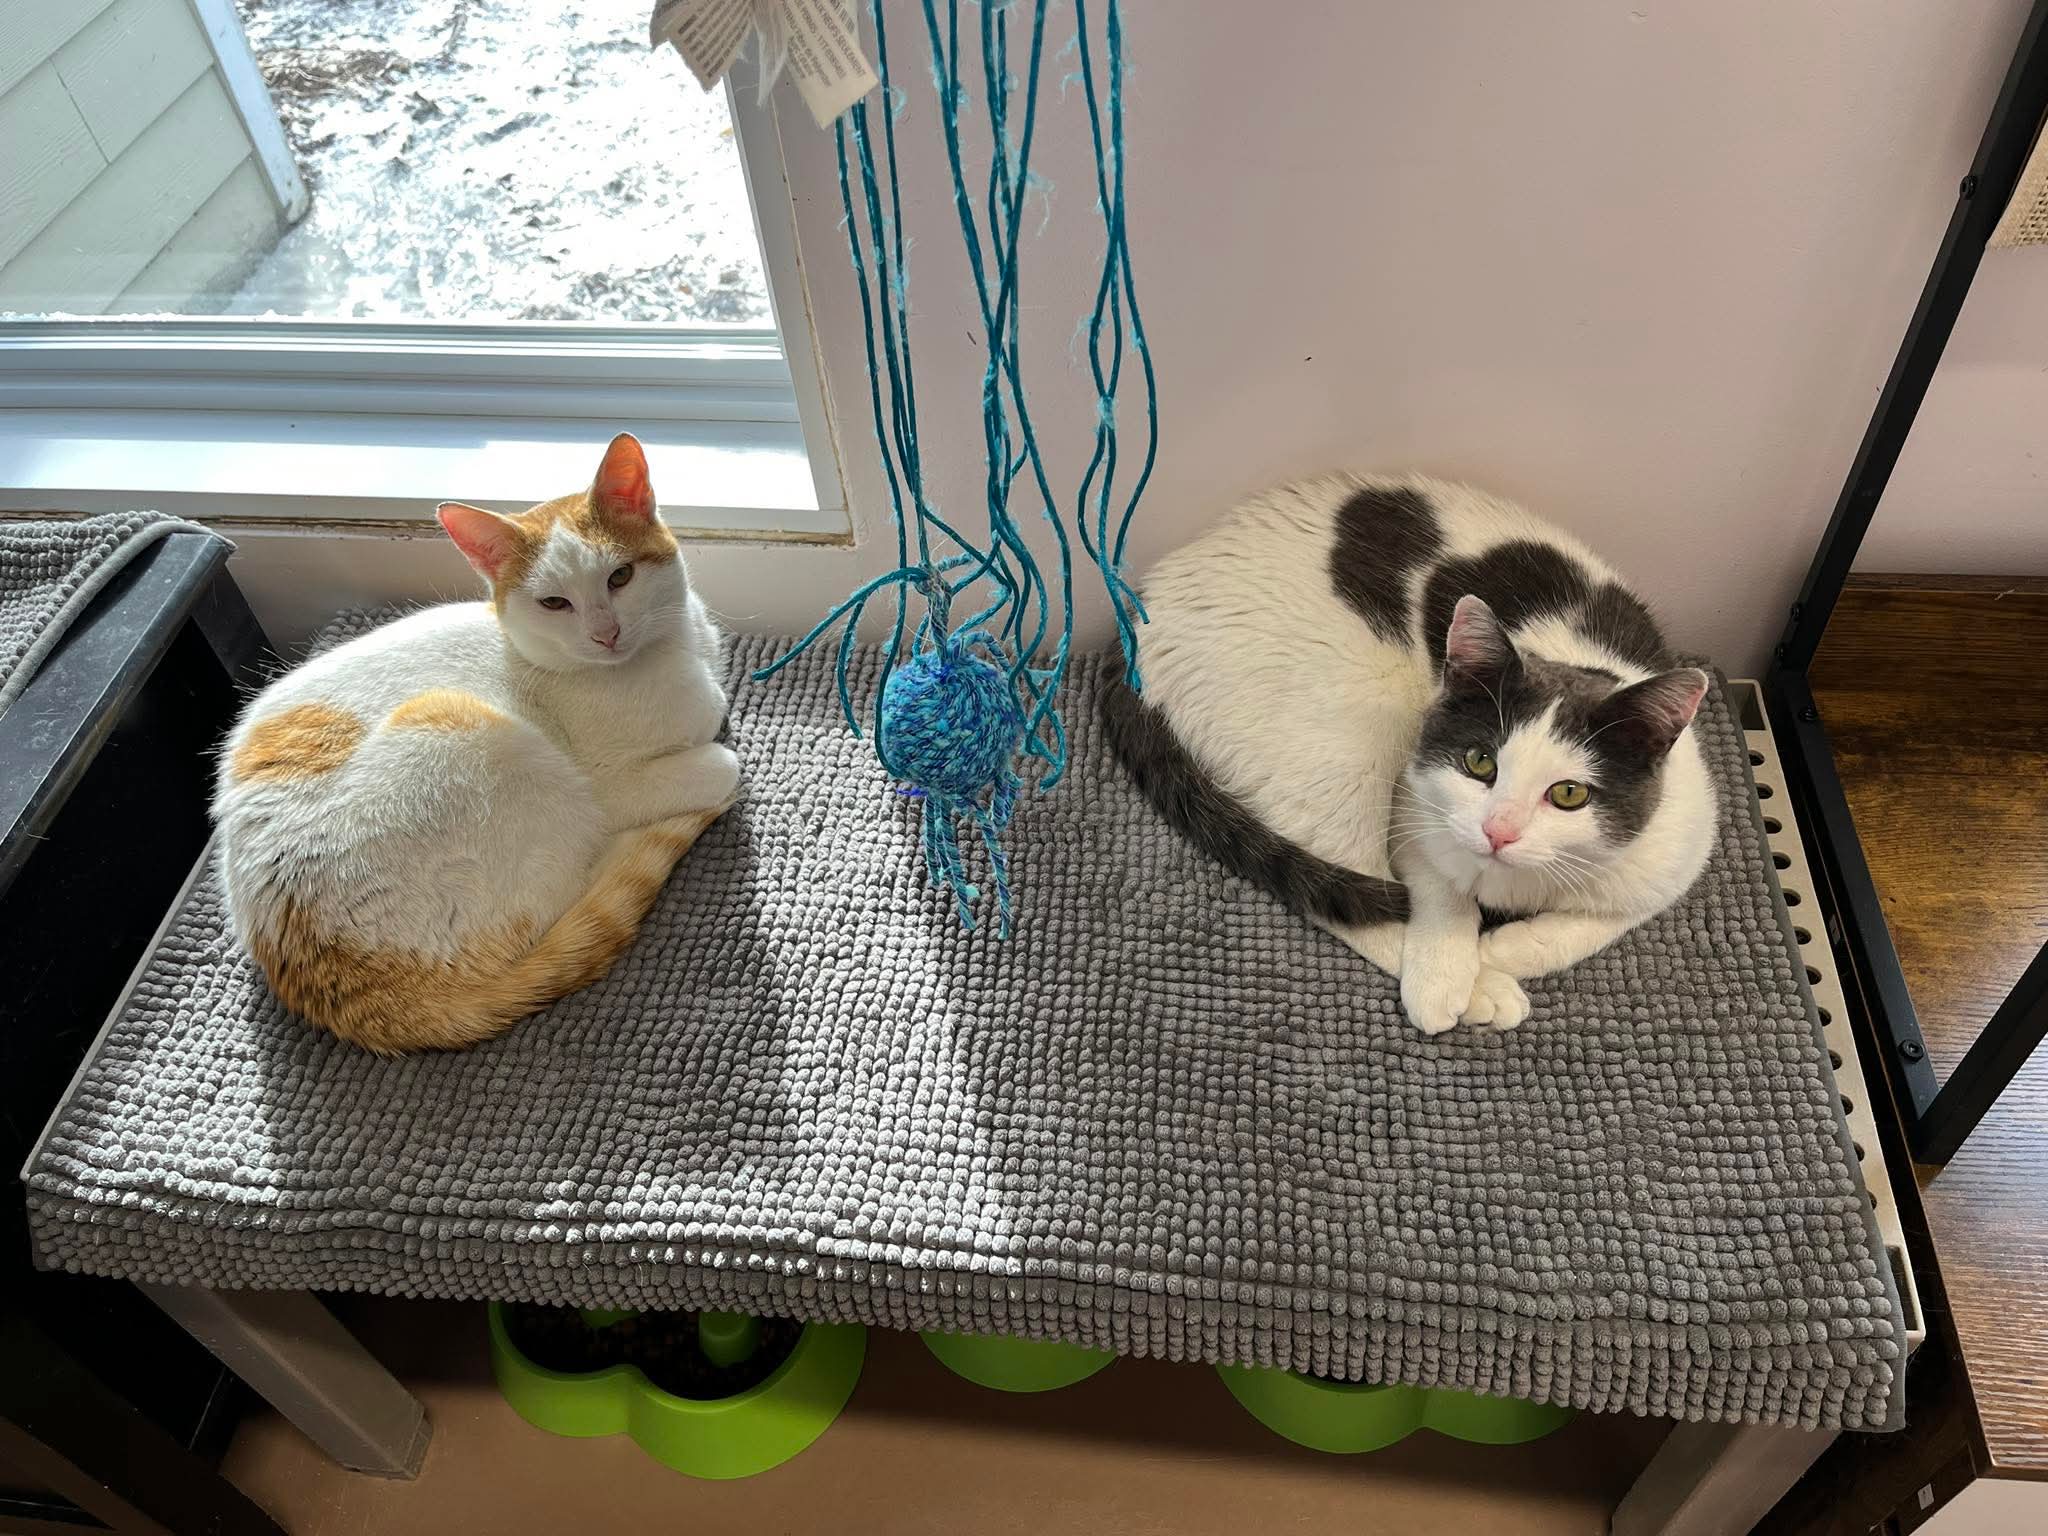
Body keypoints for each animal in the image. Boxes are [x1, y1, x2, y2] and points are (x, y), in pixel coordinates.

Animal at [213, 434, 738, 1054]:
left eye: (621, 577)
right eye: (554, 604)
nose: (605, 633)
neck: (673, 653)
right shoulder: (607, 784)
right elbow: (723, 758)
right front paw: (712, 755)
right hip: (469, 736)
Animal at [1103, 474, 1715, 1035]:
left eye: (1569, 794)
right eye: (1480, 763)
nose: (1499, 831)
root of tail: (1143, 606)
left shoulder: (1679, 848)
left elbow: (1607, 919)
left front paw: (1503, 950)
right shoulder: (1415, 812)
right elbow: (1437, 891)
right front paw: (1455, 972)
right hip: (1346, 735)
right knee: (1346, 893)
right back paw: (1479, 989)